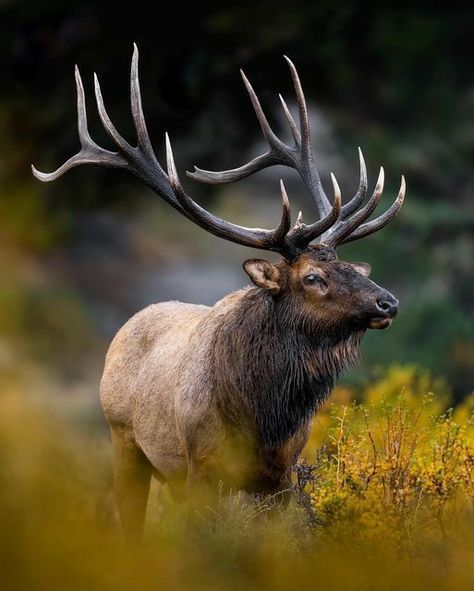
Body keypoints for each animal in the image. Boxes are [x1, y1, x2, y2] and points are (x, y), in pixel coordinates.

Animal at [32, 44, 404, 540]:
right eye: (312, 278)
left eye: (350, 265)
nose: (389, 302)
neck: (261, 416)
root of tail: (128, 324)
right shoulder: (201, 469)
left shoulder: (282, 477)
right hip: (123, 438)